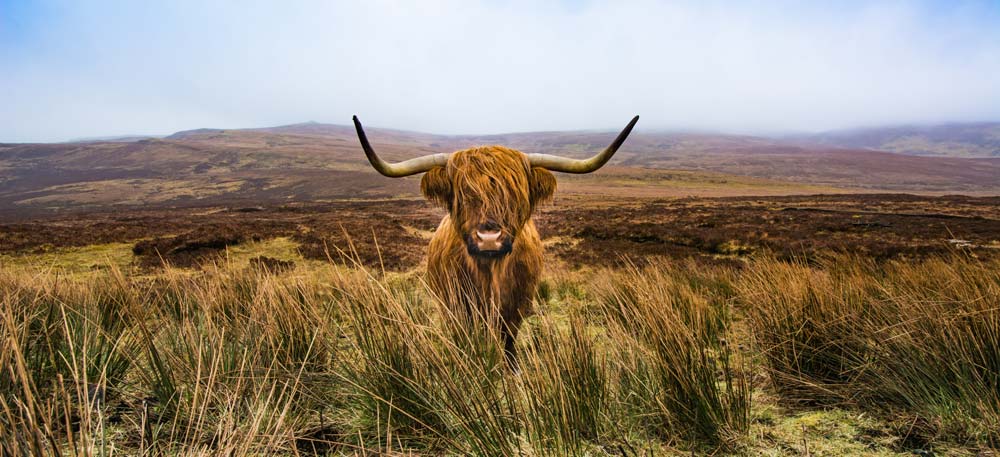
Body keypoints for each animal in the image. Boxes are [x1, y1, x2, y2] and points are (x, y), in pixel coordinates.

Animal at [356, 115, 640, 364]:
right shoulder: (455, 307)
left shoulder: (517, 308)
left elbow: (508, 342)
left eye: (515, 194)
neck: (489, 274)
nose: (489, 238)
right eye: (462, 194)